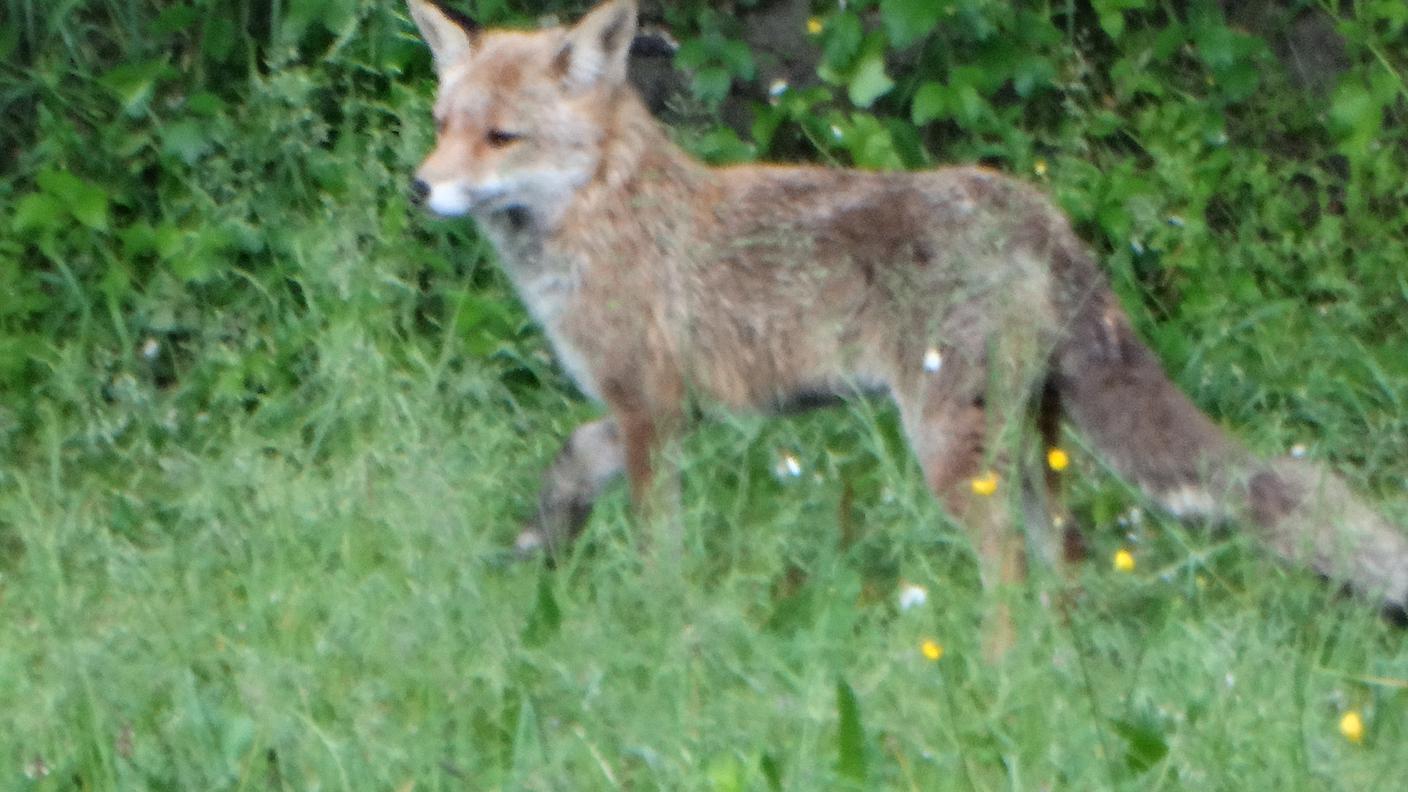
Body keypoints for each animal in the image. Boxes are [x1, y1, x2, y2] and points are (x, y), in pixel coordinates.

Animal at [402, 0, 1408, 636]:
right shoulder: (657, 408)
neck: (609, 211)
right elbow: (572, 461)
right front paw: (543, 541)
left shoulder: (652, 410)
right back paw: (1063, 673)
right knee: (1069, 553)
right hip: (1030, 441)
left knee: (1009, 564)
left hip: (953, 451)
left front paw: (655, 626)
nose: (419, 186)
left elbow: (658, 547)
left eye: (501, 139)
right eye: (444, 124)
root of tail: (1035, 210)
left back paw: (997, 678)